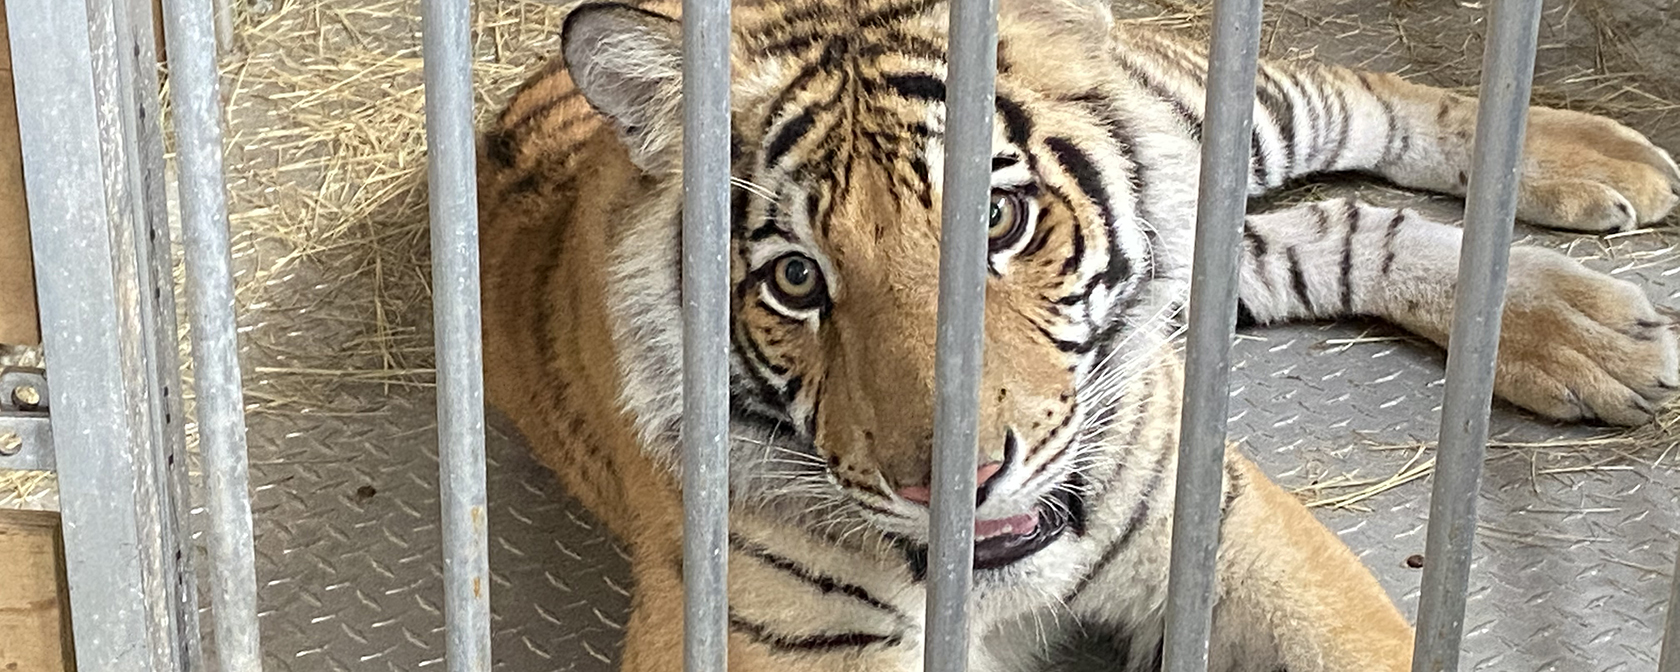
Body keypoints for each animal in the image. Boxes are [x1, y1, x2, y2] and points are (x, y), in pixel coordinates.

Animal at [477, 1, 1680, 672]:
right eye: (796, 279)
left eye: (998, 221)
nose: (955, 485)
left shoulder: (1224, 528)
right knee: (1334, 227)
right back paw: (1593, 333)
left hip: (1221, 110)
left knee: (1366, 98)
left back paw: (1603, 170)